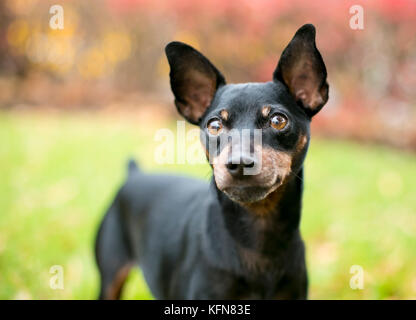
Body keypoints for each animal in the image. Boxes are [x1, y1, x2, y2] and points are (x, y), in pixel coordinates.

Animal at [95, 23, 328, 300]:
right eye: (214, 125)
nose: (239, 162)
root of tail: (134, 173)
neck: (258, 236)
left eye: (278, 121)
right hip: (110, 278)